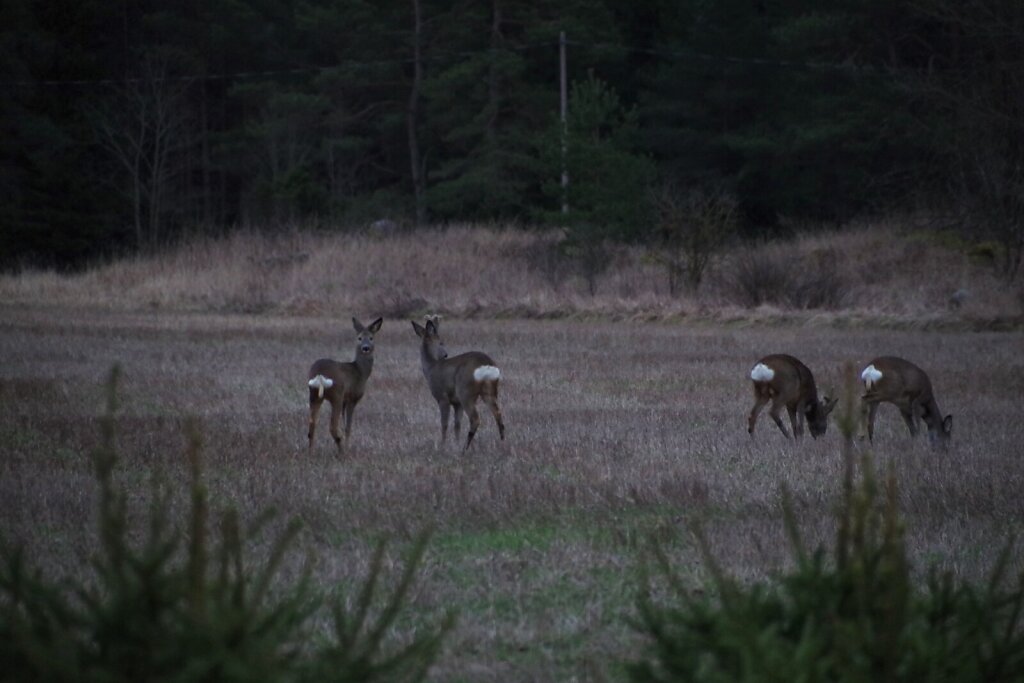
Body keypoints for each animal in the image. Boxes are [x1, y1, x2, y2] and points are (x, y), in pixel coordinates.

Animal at [307, 317, 385, 456]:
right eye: (359, 338)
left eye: (371, 338)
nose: (365, 348)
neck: (360, 371)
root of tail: (319, 375)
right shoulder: (352, 397)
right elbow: (348, 426)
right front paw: (349, 448)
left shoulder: (344, 400)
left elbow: (343, 425)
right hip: (336, 394)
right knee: (332, 426)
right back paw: (342, 452)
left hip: (314, 394)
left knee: (312, 423)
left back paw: (312, 453)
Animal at [407, 317, 503, 454]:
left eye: (441, 342)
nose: (445, 354)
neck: (431, 368)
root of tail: (487, 364)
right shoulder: (457, 403)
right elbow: (457, 424)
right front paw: (455, 443)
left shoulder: (442, 397)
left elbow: (444, 423)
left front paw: (443, 445)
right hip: (488, 390)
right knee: (498, 413)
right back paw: (502, 443)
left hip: (466, 391)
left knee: (475, 418)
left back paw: (464, 449)